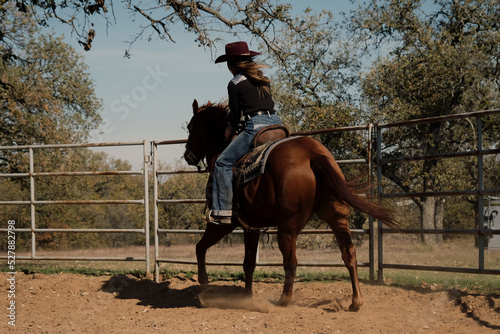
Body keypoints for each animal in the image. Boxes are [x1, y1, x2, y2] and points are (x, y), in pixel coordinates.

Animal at [182, 99, 396, 310]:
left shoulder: (224, 223)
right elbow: (248, 263)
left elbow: (200, 247)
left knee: (291, 262)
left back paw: (283, 300)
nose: (187, 155)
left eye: (191, 126)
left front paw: (204, 284)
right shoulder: (251, 227)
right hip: (336, 216)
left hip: (287, 228)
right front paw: (246, 297)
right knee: (348, 252)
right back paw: (355, 301)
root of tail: (312, 154)